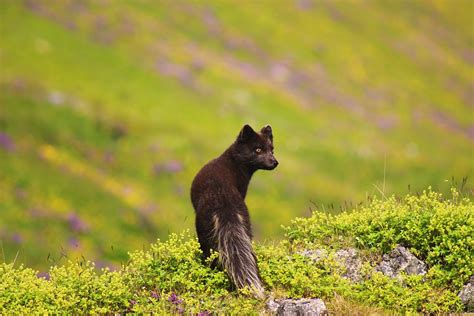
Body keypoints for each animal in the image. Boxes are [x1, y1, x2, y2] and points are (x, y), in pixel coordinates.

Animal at [190, 123, 278, 296]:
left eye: (272, 149)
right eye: (258, 149)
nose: (274, 162)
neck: (232, 164)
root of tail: (225, 203)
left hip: (203, 231)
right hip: (246, 229)